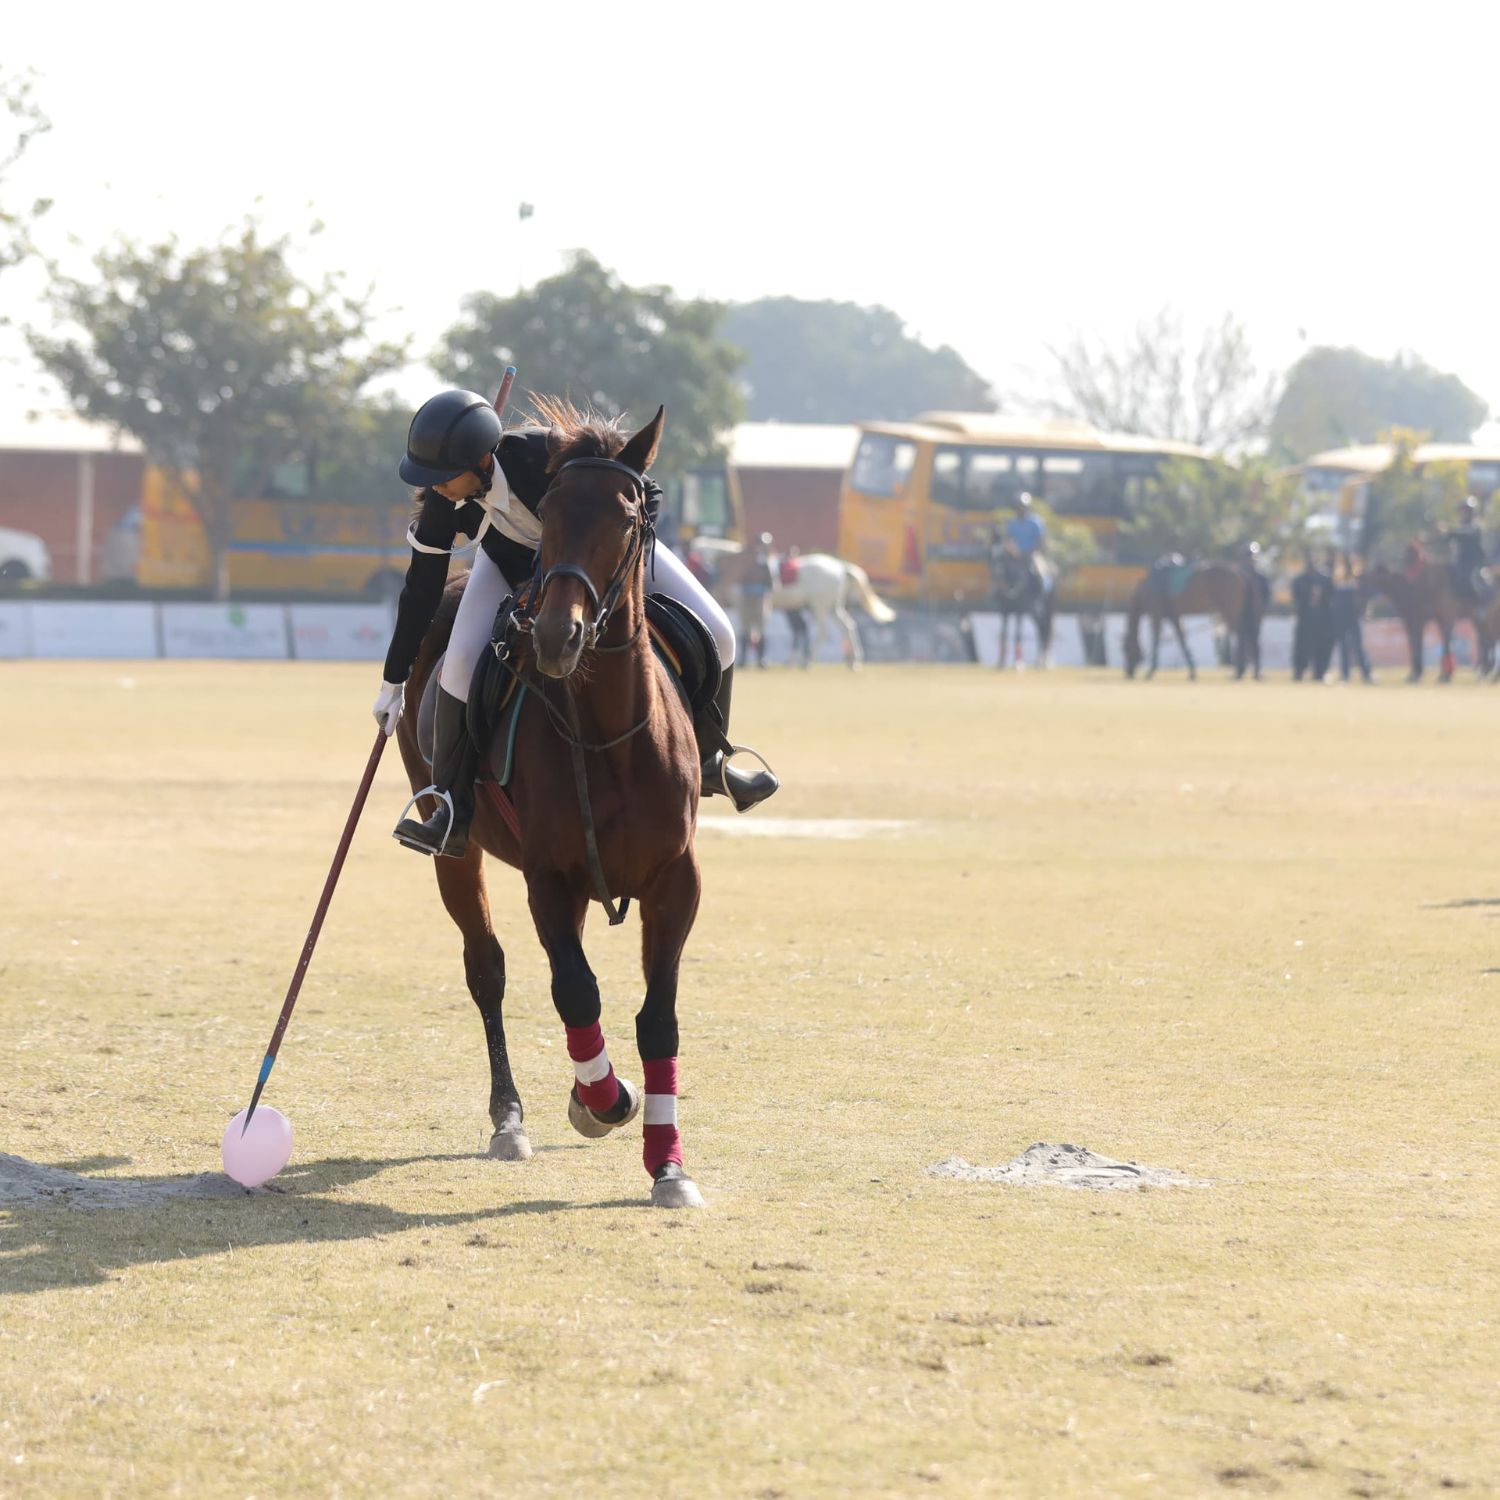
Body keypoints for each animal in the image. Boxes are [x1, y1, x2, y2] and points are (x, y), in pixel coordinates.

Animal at [394, 401, 707, 1209]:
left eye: (628, 518)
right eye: (554, 513)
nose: (557, 637)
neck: (608, 734)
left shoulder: (676, 879)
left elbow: (658, 1018)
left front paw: (669, 1166)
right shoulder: (549, 877)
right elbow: (575, 990)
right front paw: (605, 1101)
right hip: (456, 851)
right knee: (487, 968)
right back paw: (511, 1119)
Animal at [694, 538, 897, 668]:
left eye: (694, 561)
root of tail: (840, 566)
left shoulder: (742, 603)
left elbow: (747, 631)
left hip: (819, 606)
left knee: (823, 632)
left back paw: (809, 660)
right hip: (832, 607)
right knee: (848, 626)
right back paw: (853, 661)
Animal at [1123, 558, 1263, 680]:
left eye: (1126, 648)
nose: (1128, 672)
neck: (1148, 587)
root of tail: (1240, 573)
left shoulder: (1156, 614)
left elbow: (1156, 640)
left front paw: (1150, 671)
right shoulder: (1174, 616)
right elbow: (1181, 639)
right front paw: (1192, 672)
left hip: (1230, 612)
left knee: (1241, 636)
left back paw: (1239, 671)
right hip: (1240, 613)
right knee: (1250, 636)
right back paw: (1253, 672)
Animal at [1359, 557, 1491, 682]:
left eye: (1368, 583)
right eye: (1361, 583)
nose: (1363, 609)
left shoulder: (1440, 618)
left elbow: (1440, 643)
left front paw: (1441, 675)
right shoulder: (1413, 621)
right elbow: (1415, 644)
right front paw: (1416, 673)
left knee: (1482, 641)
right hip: (1478, 621)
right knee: (1483, 640)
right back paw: (1483, 671)